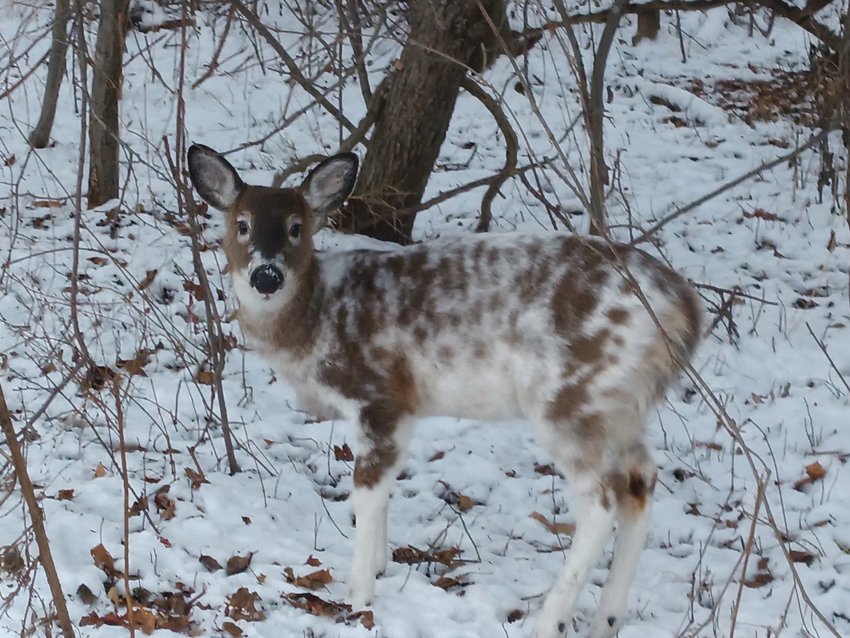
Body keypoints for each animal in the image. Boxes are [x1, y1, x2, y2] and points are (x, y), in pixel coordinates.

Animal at [189, 145, 700, 638]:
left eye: (297, 227)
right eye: (241, 224)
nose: (266, 276)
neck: (316, 317)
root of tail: (681, 307)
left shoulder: (379, 393)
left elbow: (367, 489)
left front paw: (359, 595)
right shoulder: (401, 410)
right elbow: (385, 487)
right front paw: (381, 566)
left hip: (572, 395)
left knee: (600, 502)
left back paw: (549, 622)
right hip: (623, 404)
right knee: (640, 481)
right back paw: (606, 621)